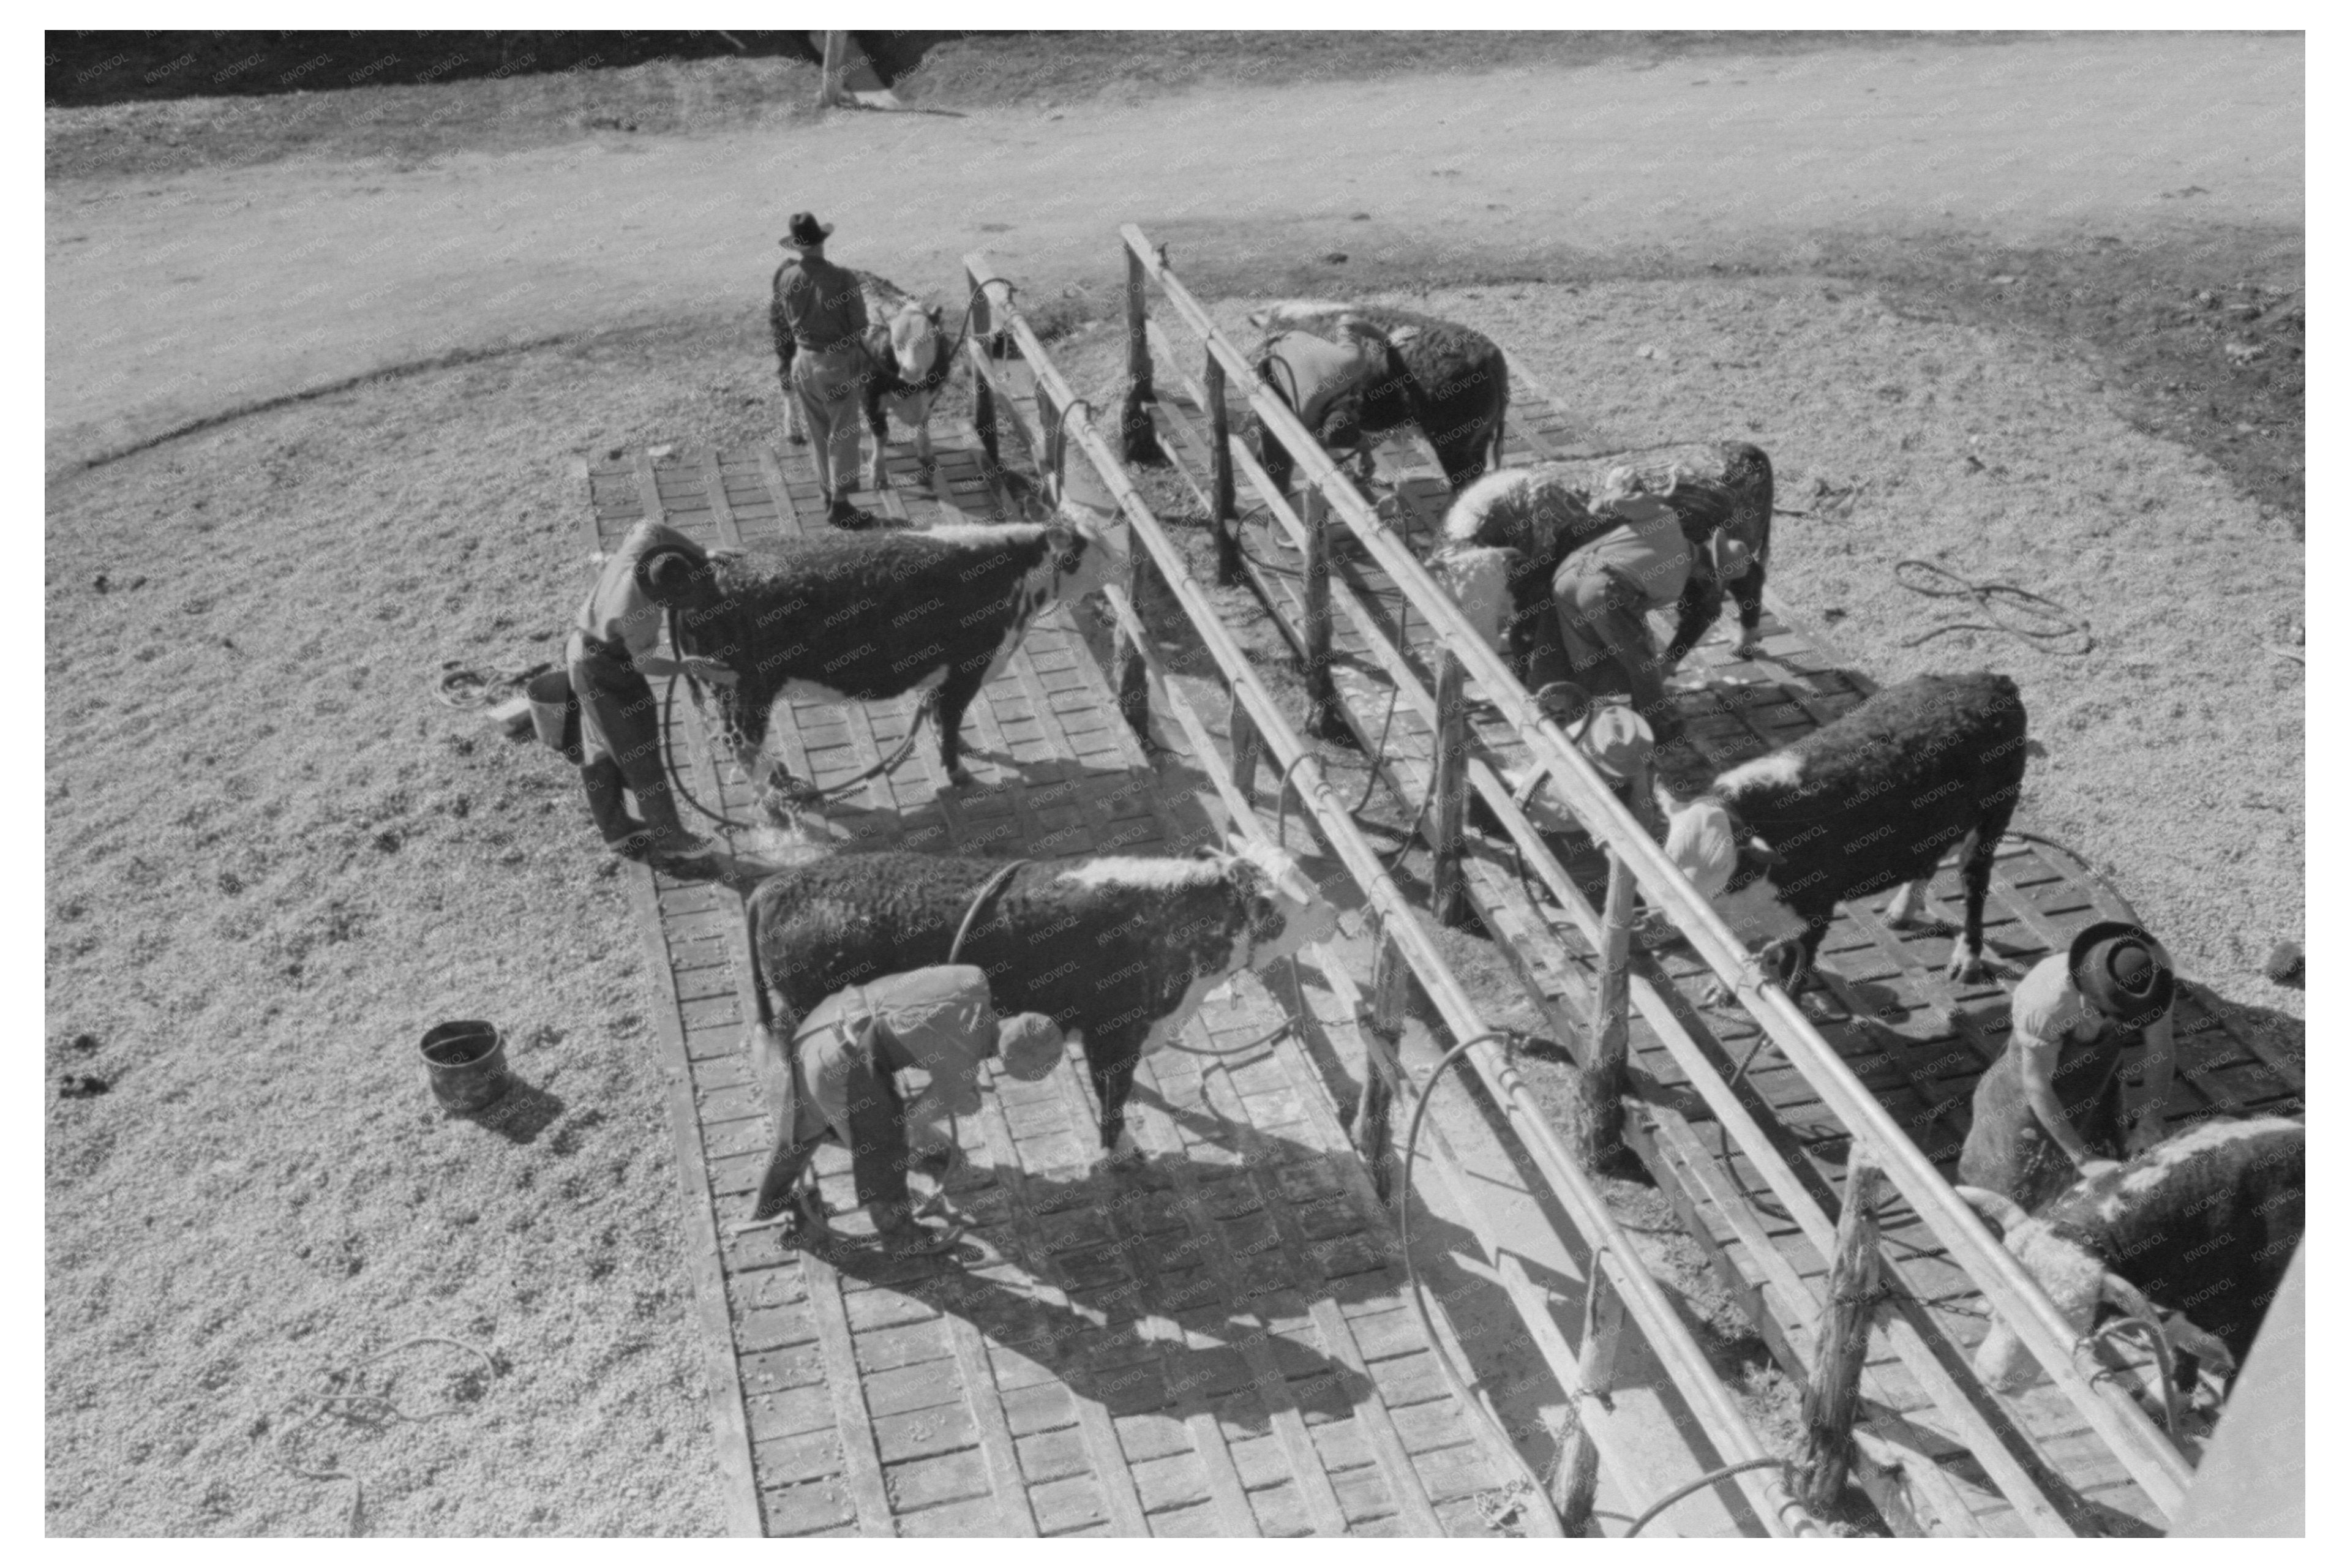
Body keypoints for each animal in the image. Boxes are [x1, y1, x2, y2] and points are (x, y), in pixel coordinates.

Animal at [671, 518, 1124, 790]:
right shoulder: (966, 670)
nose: (1124, 562)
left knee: (733, 738)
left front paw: (960, 749)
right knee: (745, 740)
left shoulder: (946, 675)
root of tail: (711, 573)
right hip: (752, 689)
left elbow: (940, 716)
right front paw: (959, 773)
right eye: (1092, 548)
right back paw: (779, 790)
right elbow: (950, 719)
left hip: (728, 689)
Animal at [741, 837, 1343, 1166]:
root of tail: (779, 886)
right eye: (1304, 898)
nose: (1336, 915)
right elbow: (1113, 1097)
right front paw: (1121, 1149)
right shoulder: (1115, 1036)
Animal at [772, 269, 952, 492]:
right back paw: (794, 430)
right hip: (786, 345)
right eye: (896, 342)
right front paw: (879, 474)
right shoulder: (871, 396)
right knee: (786, 382)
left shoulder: (932, 392)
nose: (912, 371)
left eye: (928, 338)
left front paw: (926, 455)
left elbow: (924, 421)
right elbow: (881, 435)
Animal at [1654, 672, 2032, 998]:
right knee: (1928, 860)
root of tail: (1992, 681)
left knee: (1975, 882)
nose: (1672, 917)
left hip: (1993, 817)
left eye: (1721, 866)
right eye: (1670, 856)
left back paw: (1967, 959)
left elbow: (1793, 982)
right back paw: (1902, 910)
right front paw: (1723, 988)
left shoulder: (1813, 919)